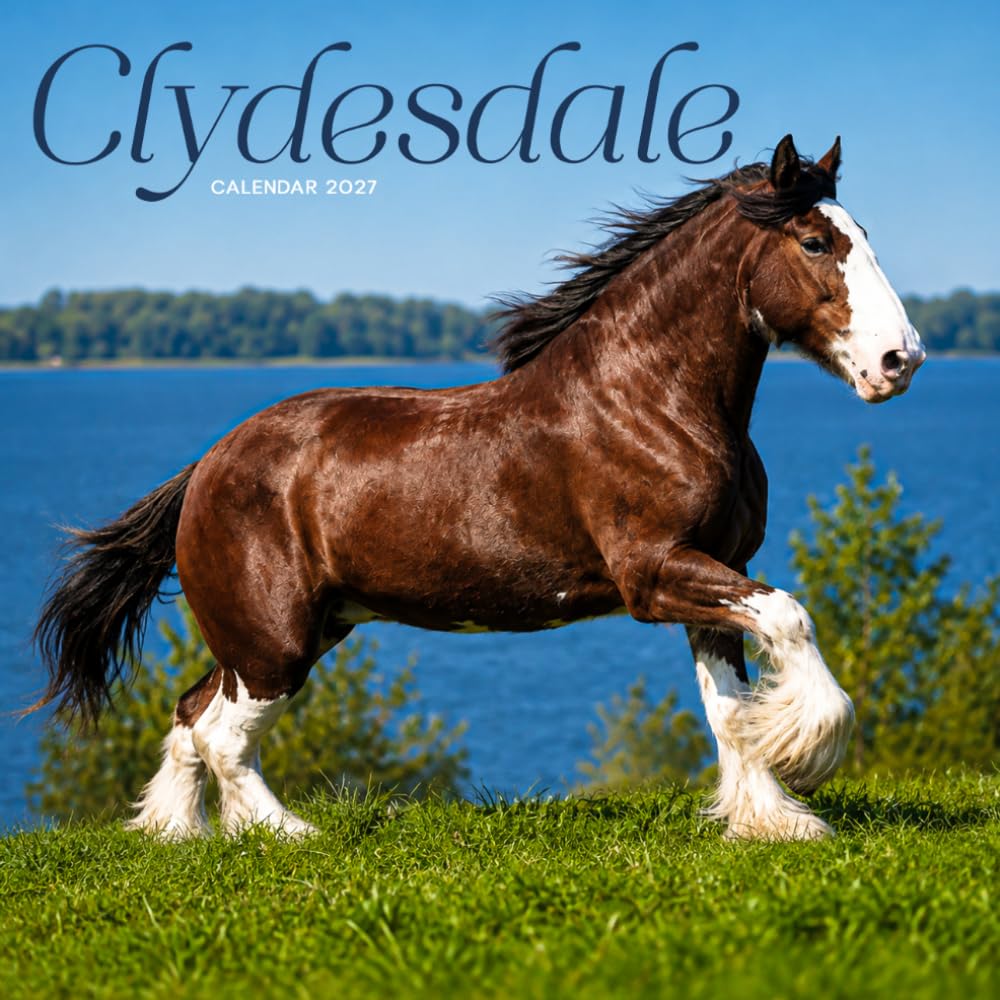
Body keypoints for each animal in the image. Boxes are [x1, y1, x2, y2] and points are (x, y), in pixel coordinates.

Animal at [31, 134, 925, 840]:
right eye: (814, 242)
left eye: (862, 234)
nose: (902, 359)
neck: (650, 398)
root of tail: (206, 467)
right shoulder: (654, 572)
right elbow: (791, 619)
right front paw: (809, 759)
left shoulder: (713, 572)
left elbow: (731, 710)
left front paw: (772, 822)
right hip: (273, 641)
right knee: (222, 735)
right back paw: (288, 835)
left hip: (298, 627)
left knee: (191, 715)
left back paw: (173, 834)